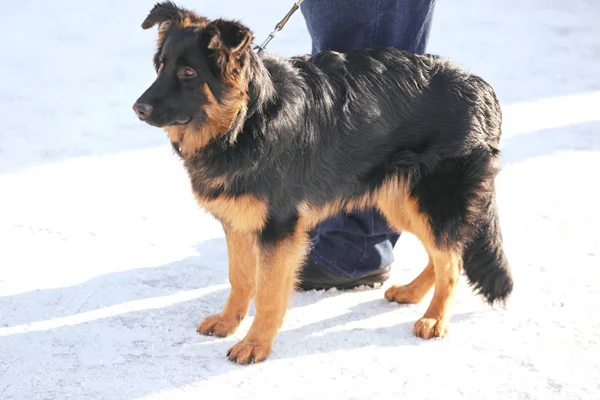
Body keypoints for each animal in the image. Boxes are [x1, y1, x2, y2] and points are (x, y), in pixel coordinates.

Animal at [134, 1, 512, 366]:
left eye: (188, 73)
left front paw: (256, 344)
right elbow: (240, 278)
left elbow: (268, 293)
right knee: (445, 252)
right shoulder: (237, 222)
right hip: (400, 202)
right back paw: (412, 293)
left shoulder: (278, 230)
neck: (246, 120)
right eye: (160, 67)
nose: (138, 108)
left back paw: (434, 319)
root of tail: (483, 87)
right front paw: (229, 322)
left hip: (431, 202)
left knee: (452, 262)